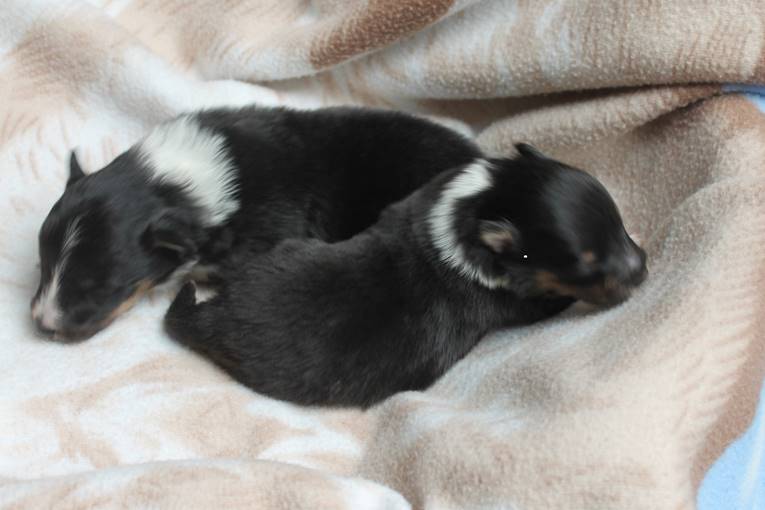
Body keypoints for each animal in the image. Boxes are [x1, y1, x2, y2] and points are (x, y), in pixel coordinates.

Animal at [166, 145, 644, 408]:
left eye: (619, 223)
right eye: (585, 265)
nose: (643, 270)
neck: (474, 207)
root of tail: (214, 318)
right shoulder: (518, 301)